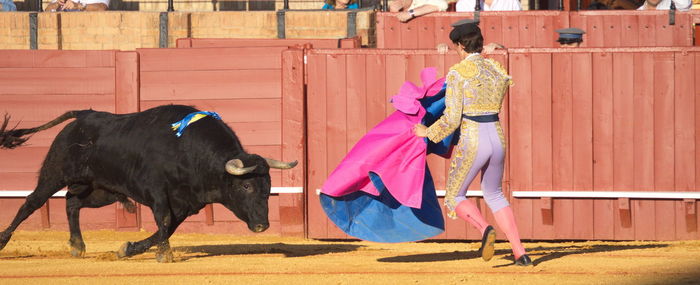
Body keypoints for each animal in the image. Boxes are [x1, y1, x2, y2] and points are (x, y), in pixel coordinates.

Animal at [0, 103, 298, 260]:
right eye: (246, 186)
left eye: (268, 189)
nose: (262, 225)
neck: (189, 153)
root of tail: (84, 115)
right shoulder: (158, 193)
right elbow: (163, 221)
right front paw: (164, 255)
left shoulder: (186, 204)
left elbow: (166, 228)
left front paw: (129, 249)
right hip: (55, 172)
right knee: (31, 202)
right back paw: (4, 240)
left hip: (100, 190)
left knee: (73, 203)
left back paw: (77, 245)